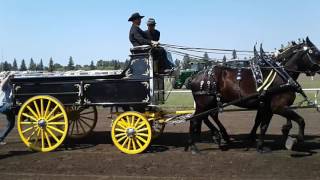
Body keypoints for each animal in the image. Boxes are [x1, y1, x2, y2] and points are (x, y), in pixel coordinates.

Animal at [188, 37, 320, 154]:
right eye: (315, 52)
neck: (282, 76)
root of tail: (195, 76)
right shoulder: (278, 107)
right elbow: (300, 120)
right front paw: (297, 139)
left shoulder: (267, 108)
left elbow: (263, 126)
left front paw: (260, 146)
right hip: (204, 102)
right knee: (195, 119)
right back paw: (195, 146)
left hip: (211, 102)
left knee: (207, 116)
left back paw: (219, 136)